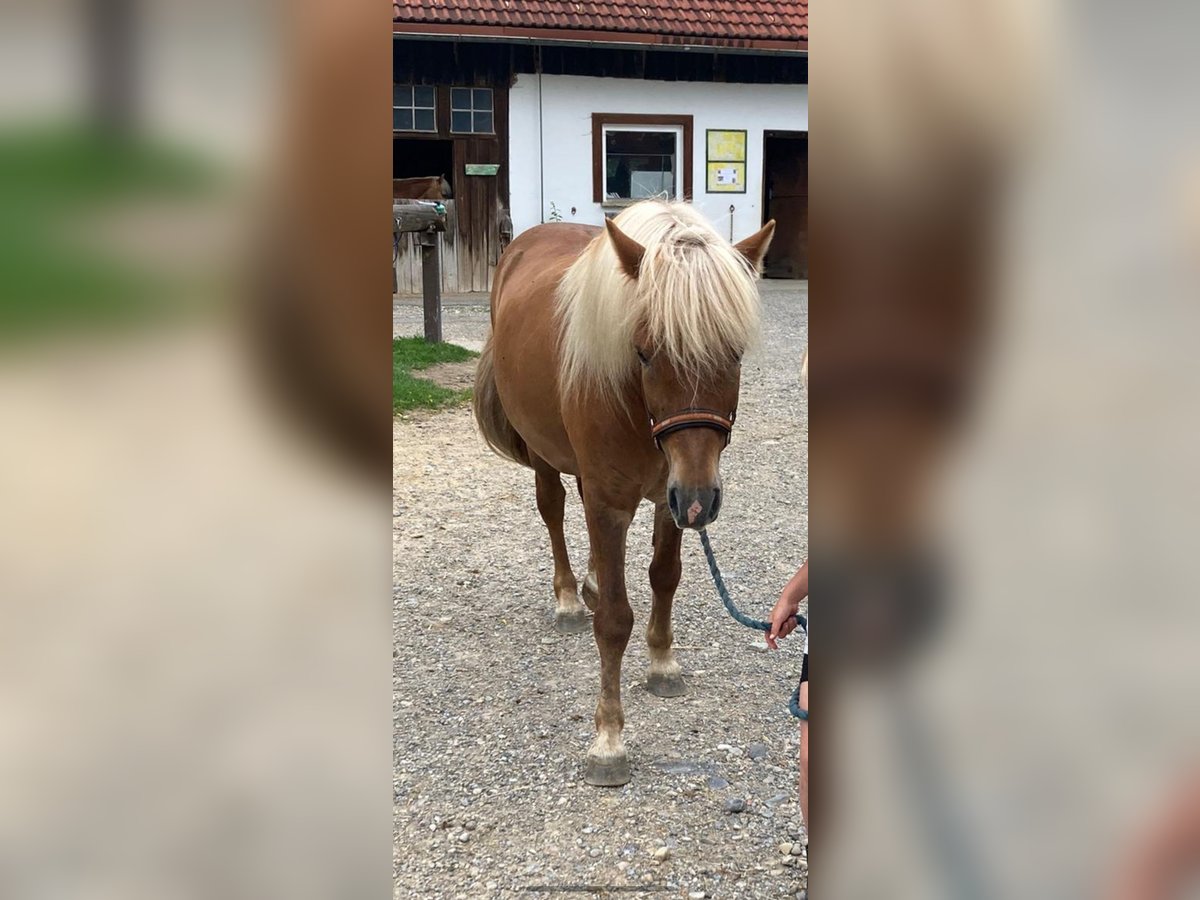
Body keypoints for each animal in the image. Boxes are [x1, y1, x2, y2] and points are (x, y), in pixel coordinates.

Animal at [473, 200, 775, 786]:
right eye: (645, 352)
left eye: (734, 352)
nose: (701, 500)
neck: (635, 405)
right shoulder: (615, 501)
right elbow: (614, 621)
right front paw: (608, 740)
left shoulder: (669, 494)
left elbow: (665, 577)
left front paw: (662, 663)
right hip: (543, 453)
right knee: (553, 510)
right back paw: (570, 598)